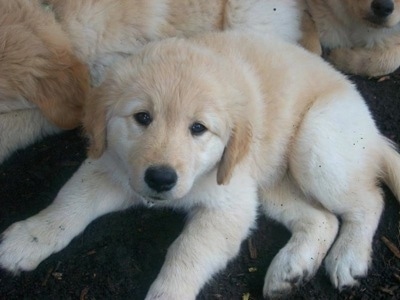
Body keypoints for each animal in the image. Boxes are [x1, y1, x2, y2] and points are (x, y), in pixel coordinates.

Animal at [0, 30, 400, 298]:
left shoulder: (228, 204)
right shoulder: (110, 165)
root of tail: (374, 131)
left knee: (369, 201)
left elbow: (186, 252)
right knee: (321, 218)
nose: (161, 179)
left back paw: (349, 257)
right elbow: (69, 203)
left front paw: (168, 294)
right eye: (142, 117)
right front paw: (27, 238)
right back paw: (291, 268)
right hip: (268, 184)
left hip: (317, 143)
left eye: (198, 129)